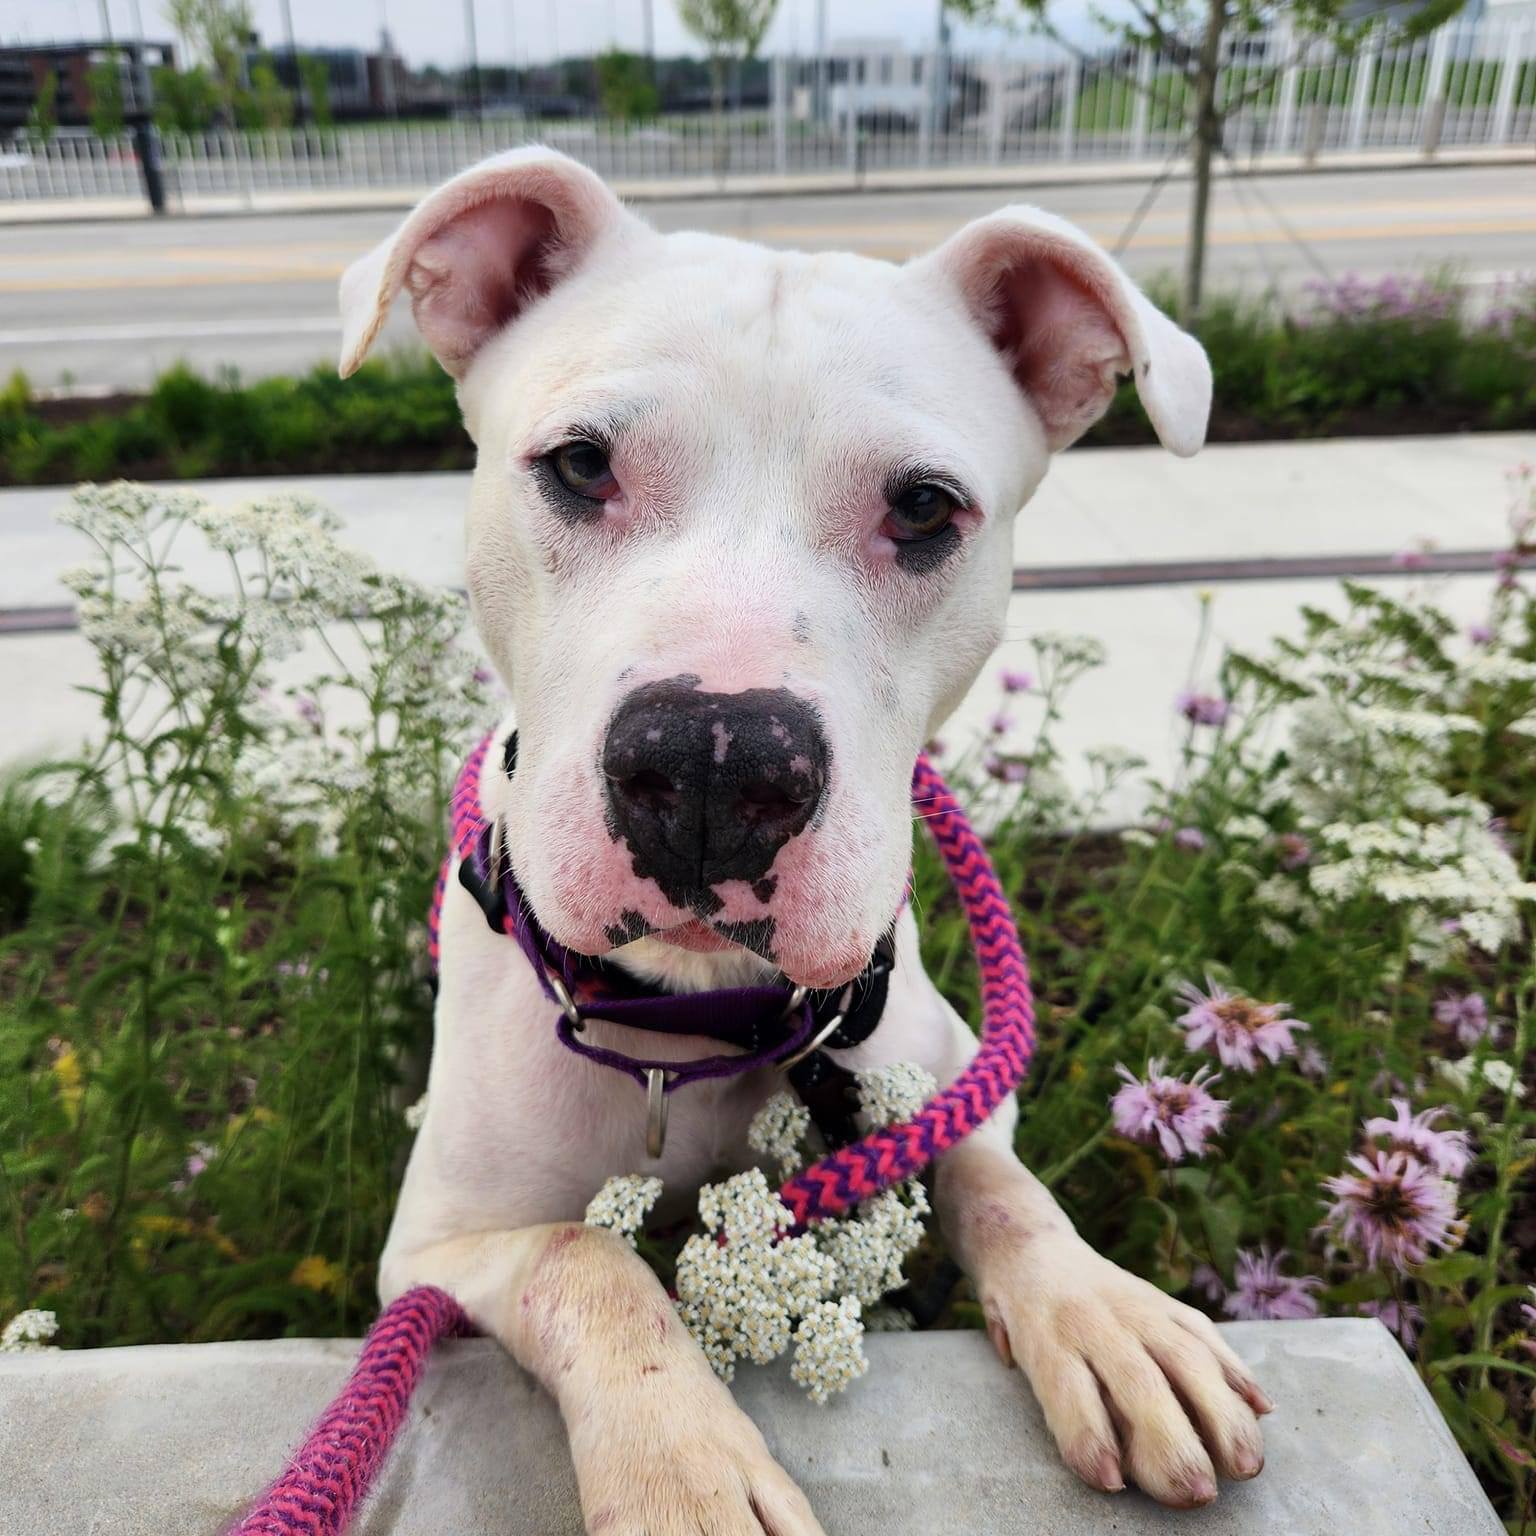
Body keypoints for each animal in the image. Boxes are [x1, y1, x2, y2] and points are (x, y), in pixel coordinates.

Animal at [345, 146, 1271, 1536]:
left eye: (927, 507)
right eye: (579, 465)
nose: (715, 763)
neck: (697, 1008)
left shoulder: (948, 1072)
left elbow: (1002, 1184)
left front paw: (1108, 1315)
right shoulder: (442, 1248)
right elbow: (591, 1260)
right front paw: (680, 1468)